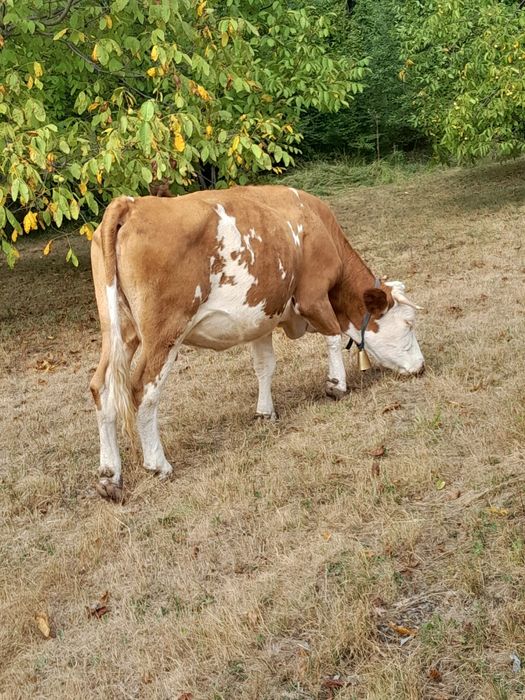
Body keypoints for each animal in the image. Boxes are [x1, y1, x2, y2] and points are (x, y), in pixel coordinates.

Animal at [89, 185, 424, 501]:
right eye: (409, 323)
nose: (421, 367)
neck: (316, 225)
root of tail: (132, 204)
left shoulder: (262, 315)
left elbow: (265, 366)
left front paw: (265, 411)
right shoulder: (313, 296)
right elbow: (331, 337)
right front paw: (337, 385)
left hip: (120, 332)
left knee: (102, 388)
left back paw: (110, 476)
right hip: (164, 334)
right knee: (142, 391)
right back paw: (158, 464)